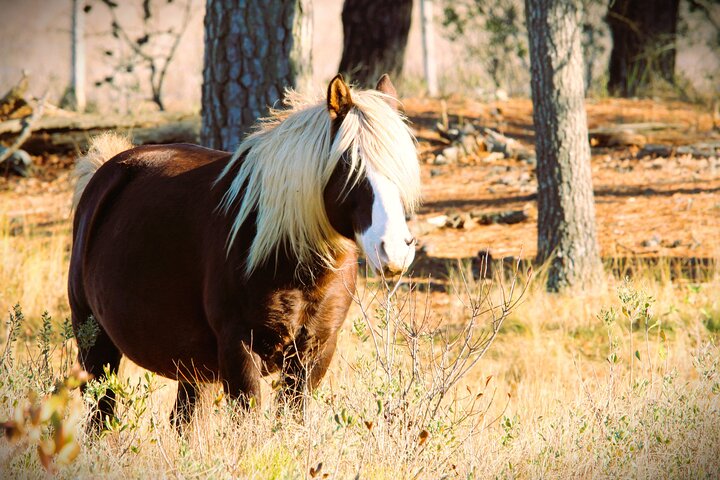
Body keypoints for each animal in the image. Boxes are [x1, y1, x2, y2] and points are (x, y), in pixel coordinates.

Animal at [68, 74, 421, 428]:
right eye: (351, 166)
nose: (394, 250)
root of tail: (106, 170)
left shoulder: (315, 349)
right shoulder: (238, 350)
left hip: (193, 368)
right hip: (95, 342)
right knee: (101, 414)